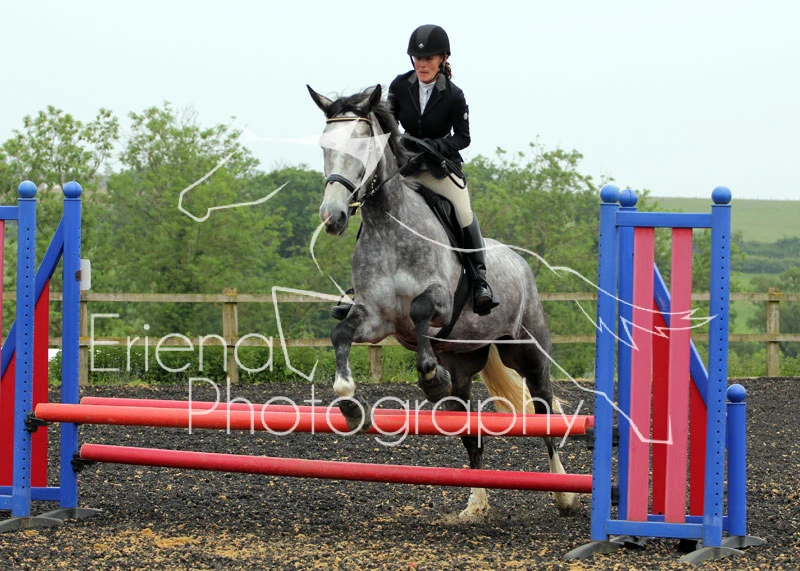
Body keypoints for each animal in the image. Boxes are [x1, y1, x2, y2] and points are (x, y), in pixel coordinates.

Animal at [307, 84, 579, 518]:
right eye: (324, 146)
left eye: (364, 146)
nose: (332, 217)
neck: (389, 226)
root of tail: (520, 262)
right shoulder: (375, 319)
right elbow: (341, 334)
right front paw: (350, 404)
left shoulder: (439, 304)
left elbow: (419, 310)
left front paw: (430, 377)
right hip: (465, 363)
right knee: (470, 430)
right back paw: (476, 502)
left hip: (528, 352)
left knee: (544, 412)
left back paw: (563, 493)